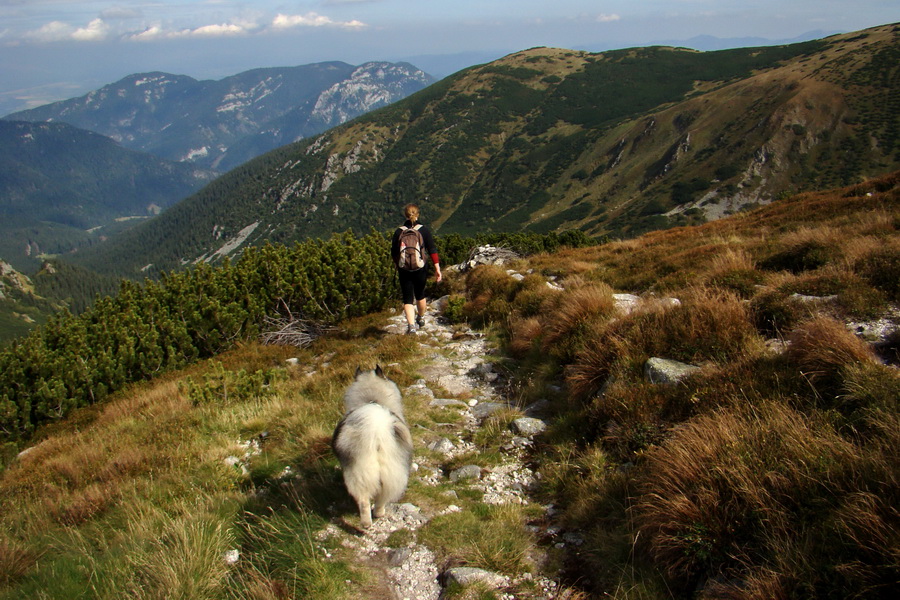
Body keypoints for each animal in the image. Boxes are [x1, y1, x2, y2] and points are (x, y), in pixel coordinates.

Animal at [332, 366, 414, 524]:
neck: (371, 399)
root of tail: (377, 429)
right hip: (387, 470)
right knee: (378, 497)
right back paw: (374, 517)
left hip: (361, 471)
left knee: (366, 500)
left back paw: (368, 522)